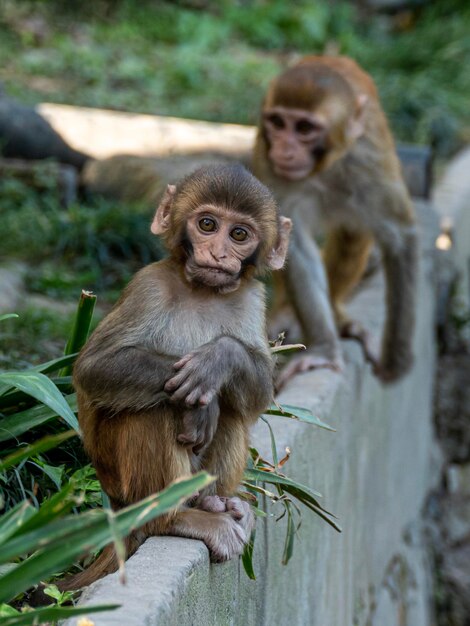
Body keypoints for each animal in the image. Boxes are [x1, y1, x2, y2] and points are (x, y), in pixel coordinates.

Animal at [62, 163, 290, 588]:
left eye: (239, 234)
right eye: (207, 224)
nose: (217, 253)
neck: (202, 291)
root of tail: (114, 510)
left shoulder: (253, 297)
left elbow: (259, 393)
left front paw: (218, 359)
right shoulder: (148, 286)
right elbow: (96, 368)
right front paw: (202, 404)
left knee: (232, 409)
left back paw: (214, 501)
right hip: (122, 487)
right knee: (155, 409)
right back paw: (172, 518)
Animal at [255, 54, 416, 386]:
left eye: (304, 128)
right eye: (277, 123)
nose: (284, 150)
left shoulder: (369, 158)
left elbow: (399, 234)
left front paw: (396, 360)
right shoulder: (268, 163)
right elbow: (291, 243)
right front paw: (324, 351)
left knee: (354, 234)